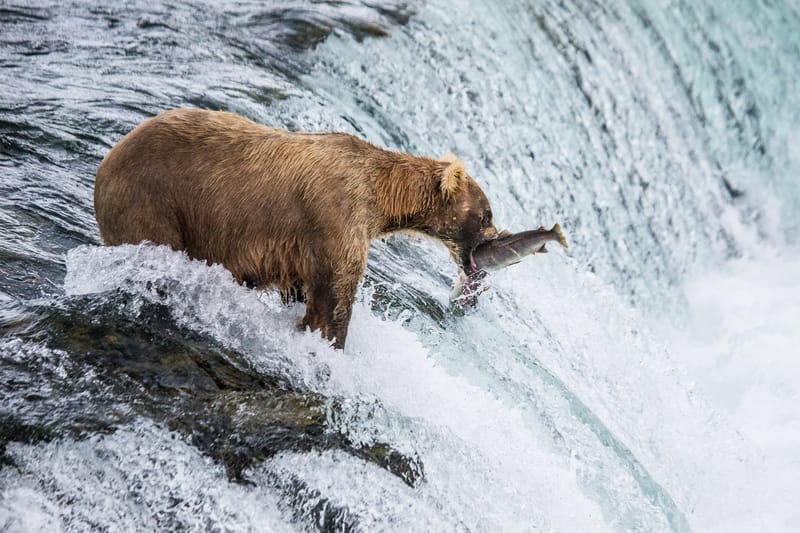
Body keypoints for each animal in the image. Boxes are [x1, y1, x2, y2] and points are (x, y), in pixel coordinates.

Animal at [94, 108, 500, 348]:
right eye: (487, 215)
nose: (496, 239)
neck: (380, 199)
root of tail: (107, 161)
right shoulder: (336, 217)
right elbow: (333, 300)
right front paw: (328, 343)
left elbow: (304, 290)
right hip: (153, 203)